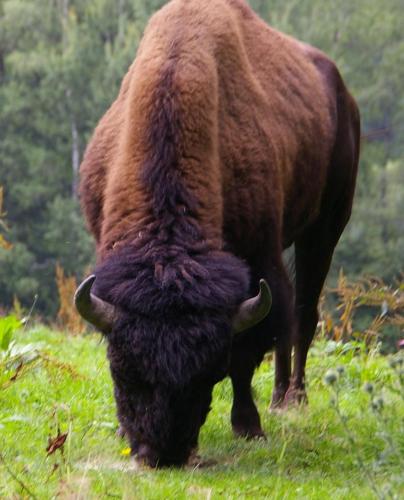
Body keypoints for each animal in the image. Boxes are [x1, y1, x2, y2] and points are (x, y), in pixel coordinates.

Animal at [75, 0, 360, 468]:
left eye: (208, 374)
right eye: (125, 370)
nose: (164, 452)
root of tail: (342, 92)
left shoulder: (259, 263)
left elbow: (249, 352)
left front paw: (249, 426)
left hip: (326, 226)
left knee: (303, 313)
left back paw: (292, 400)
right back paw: (279, 396)